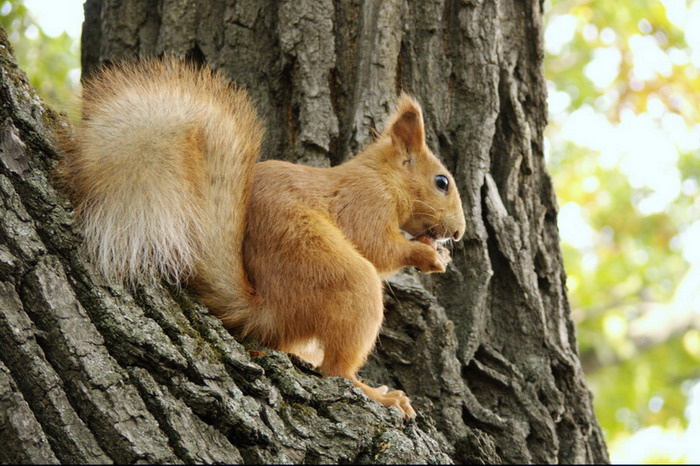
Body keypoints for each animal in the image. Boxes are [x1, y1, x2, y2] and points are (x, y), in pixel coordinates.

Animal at [57, 59, 466, 419]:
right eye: (441, 181)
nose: (459, 232)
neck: (382, 177)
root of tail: (269, 310)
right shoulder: (365, 202)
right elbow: (378, 248)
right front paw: (427, 256)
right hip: (342, 278)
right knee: (337, 370)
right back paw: (377, 394)